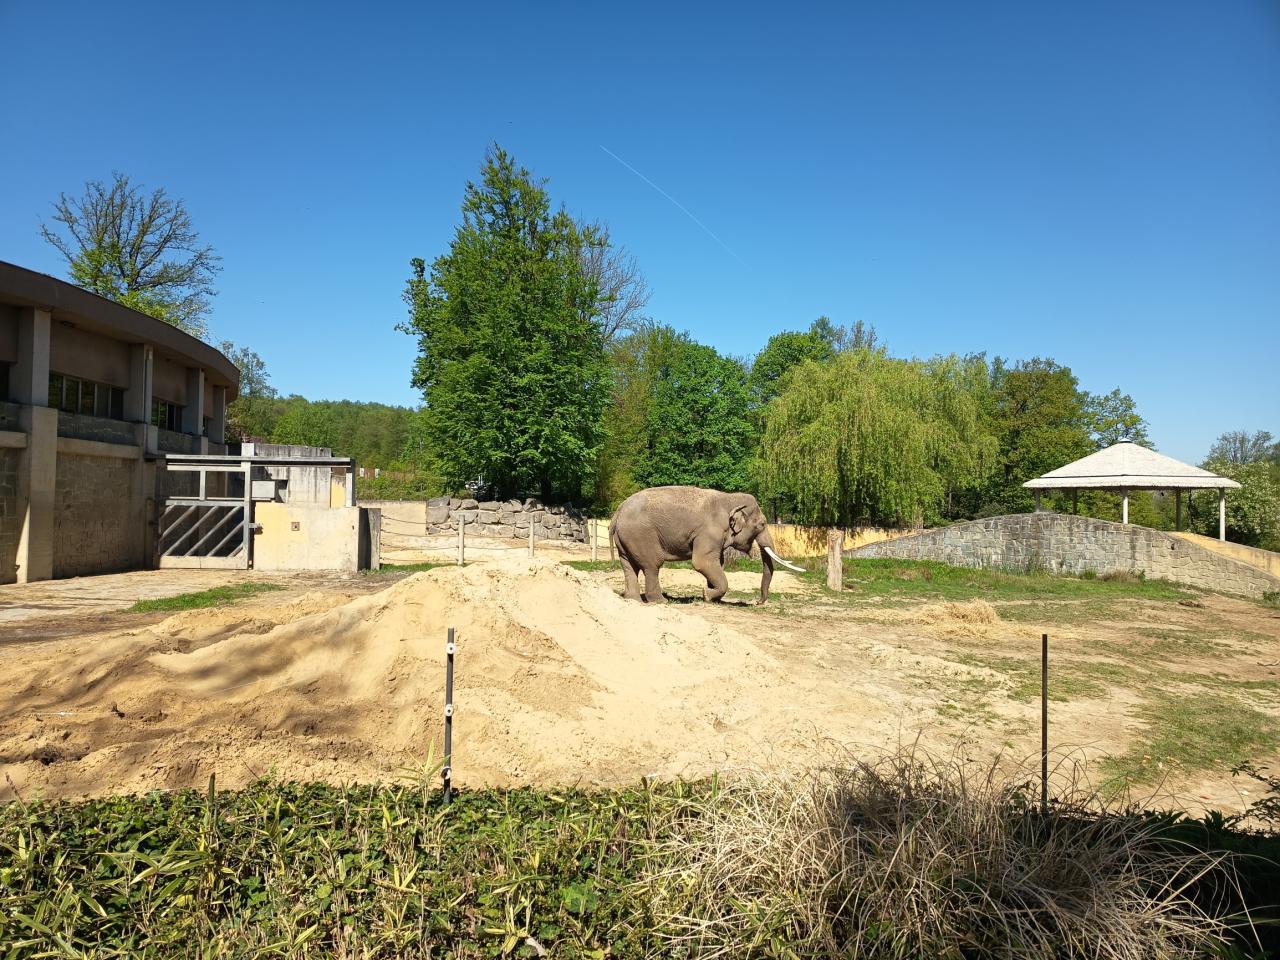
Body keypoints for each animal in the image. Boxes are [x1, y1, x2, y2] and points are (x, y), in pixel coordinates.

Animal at [610, 486, 804, 603]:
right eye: (762, 525)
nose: (757, 602)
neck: (729, 499)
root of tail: (618, 511)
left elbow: (717, 562)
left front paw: (712, 597)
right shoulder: (709, 533)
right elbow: (702, 562)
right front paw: (706, 594)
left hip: (626, 539)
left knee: (629, 566)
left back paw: (632, 600)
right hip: (642, 536)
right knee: (652, 565)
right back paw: (661, 601)